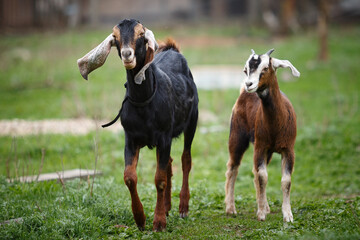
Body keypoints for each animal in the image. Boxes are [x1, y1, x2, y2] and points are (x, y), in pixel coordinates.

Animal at [77, 19, 198, 232]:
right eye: (115, 37)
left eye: (141, 34)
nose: (127, 54)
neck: (144, 102)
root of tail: (173, 50)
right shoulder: (131, 138)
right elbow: (130, 177)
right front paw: (140, 219)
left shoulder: (164, 137)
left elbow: (159, 179)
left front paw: (159, 222)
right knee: (170, 163)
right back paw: (167, 206)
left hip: (192, 121)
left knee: (185, 160)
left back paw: (183, 207)